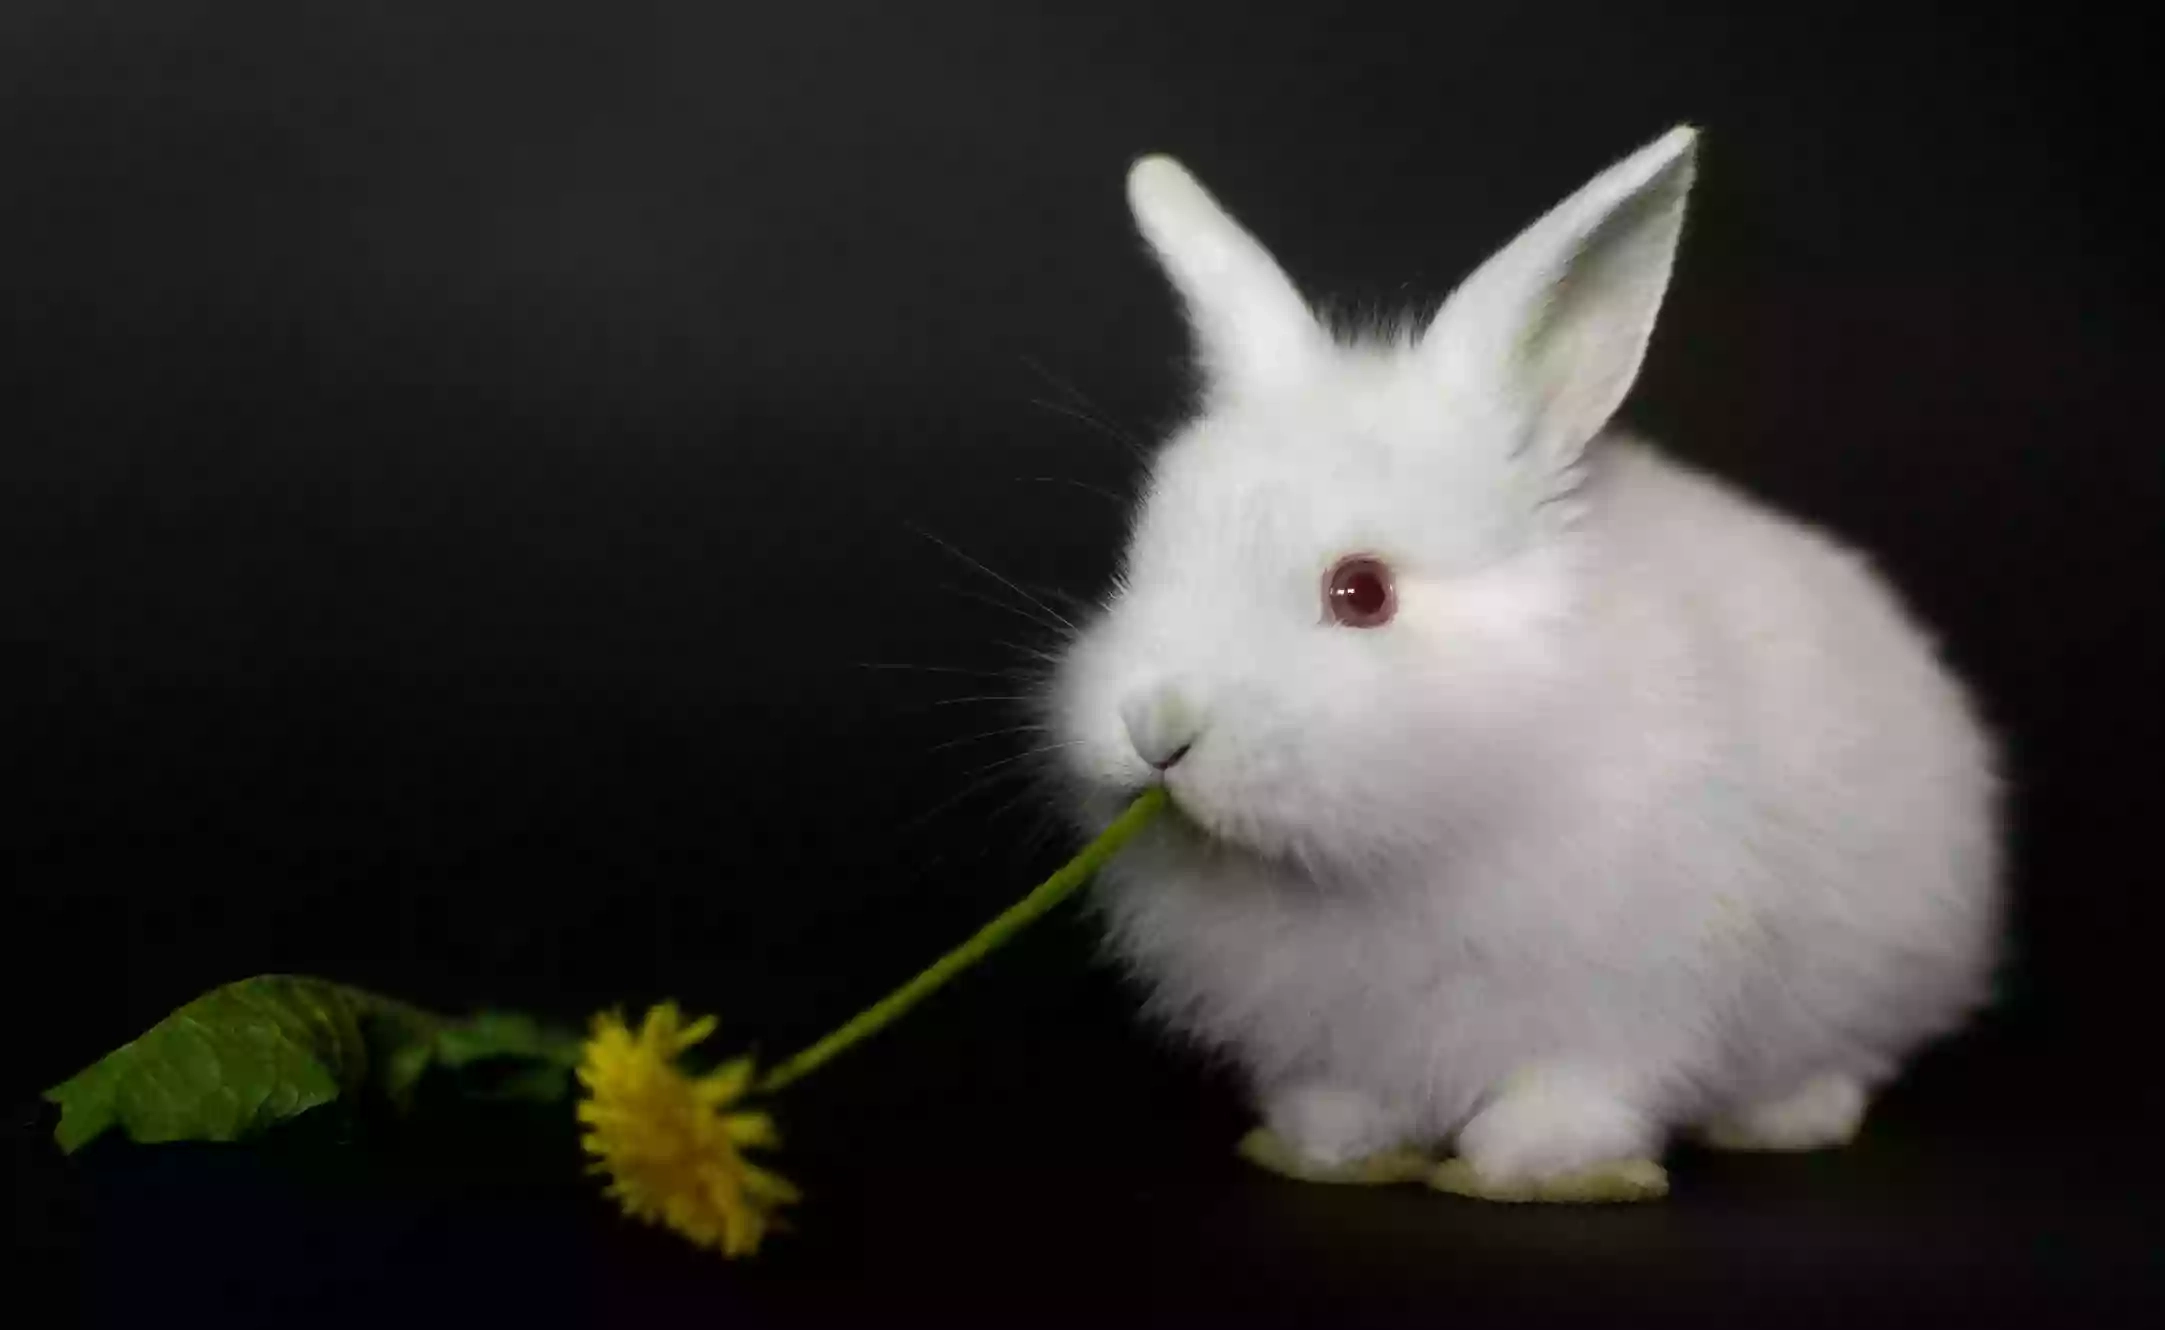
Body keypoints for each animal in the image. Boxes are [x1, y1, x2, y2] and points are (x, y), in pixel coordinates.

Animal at [1039, 130, 2000, 1204]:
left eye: (1361, 591)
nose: (1155, 727)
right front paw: (1332, 1152)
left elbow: (1573, 1089)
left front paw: (1521, 1167)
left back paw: (1784, 1120)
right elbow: (1343, 1097)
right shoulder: (1331, 1036)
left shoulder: (1618, 999)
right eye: (1139, 556)